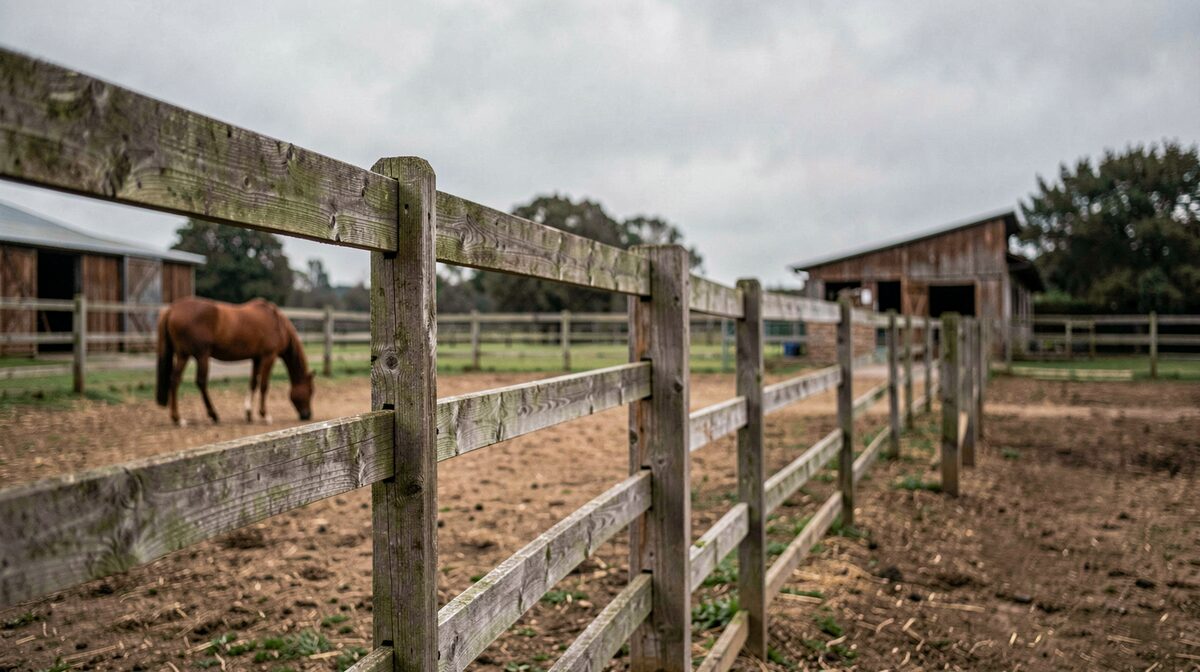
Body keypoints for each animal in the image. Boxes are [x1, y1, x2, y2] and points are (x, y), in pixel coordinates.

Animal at [156, 297, 315, 426]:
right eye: (310, 391)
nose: (307, 415)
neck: (277, 323)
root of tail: (172, 309)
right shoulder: (269, 356)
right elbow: (264, 385)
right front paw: (265, 415)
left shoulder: (257, 358)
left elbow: (253, 383)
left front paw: (249, 413)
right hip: (200, 356)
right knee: (199, 382)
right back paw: (208, 415)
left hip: (184, 356)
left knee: (175, 380)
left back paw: (178, 418)